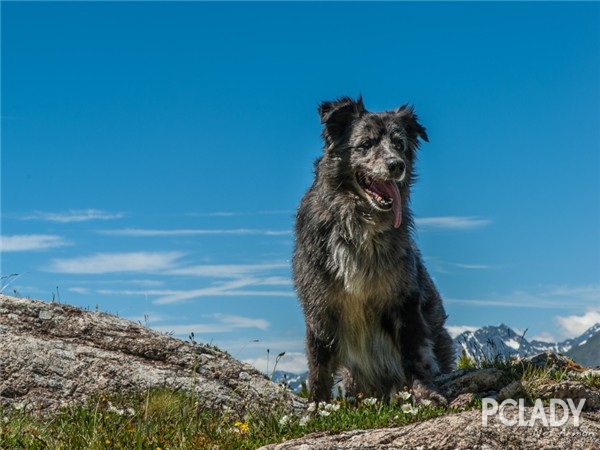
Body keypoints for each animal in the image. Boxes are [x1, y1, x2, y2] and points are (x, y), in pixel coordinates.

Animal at [292, 96, 454, 404]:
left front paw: (426, 394)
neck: (358, 221)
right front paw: (316, 408)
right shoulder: (319, 308)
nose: (396, 165)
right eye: (365, 144)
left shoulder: (404, 300)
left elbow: (414, 353)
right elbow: (318, 367)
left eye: (399, 144)